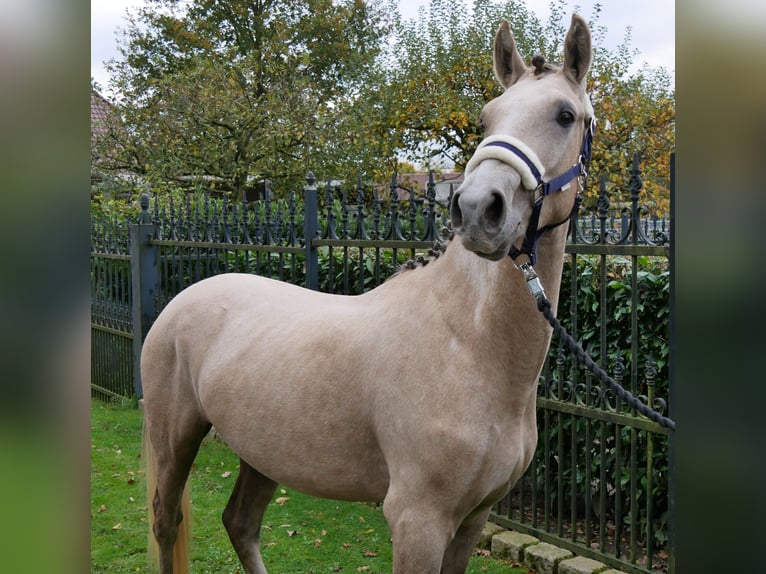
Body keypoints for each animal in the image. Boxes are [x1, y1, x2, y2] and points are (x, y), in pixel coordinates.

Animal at [146, 13, 600, 574]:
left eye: (565, 115)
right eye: (486, 118)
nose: (477, 209)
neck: (467, 347)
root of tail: (181, 301)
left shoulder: (473, 520)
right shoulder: (417, 521)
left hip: (264, 450)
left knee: (240, 523)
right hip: (174, 441)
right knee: (167, 521)